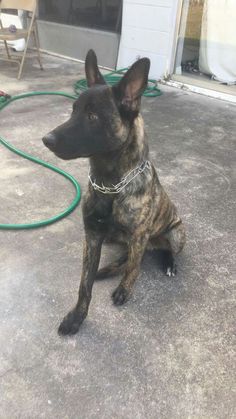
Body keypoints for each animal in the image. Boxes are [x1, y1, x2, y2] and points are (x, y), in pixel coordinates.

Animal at [42, 50, 186, 338]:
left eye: (92, 117)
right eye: (73, 110)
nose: (46, 140)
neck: (109, 184)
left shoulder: (139, 235)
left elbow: (134, 268)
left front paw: (124, 290)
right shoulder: (93, 237)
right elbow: (84, 285)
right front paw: (77, 317)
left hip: (175, 234)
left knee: (156, 252)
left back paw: (167, 263)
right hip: (116, 240)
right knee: (126, 256)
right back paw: (107, 269)